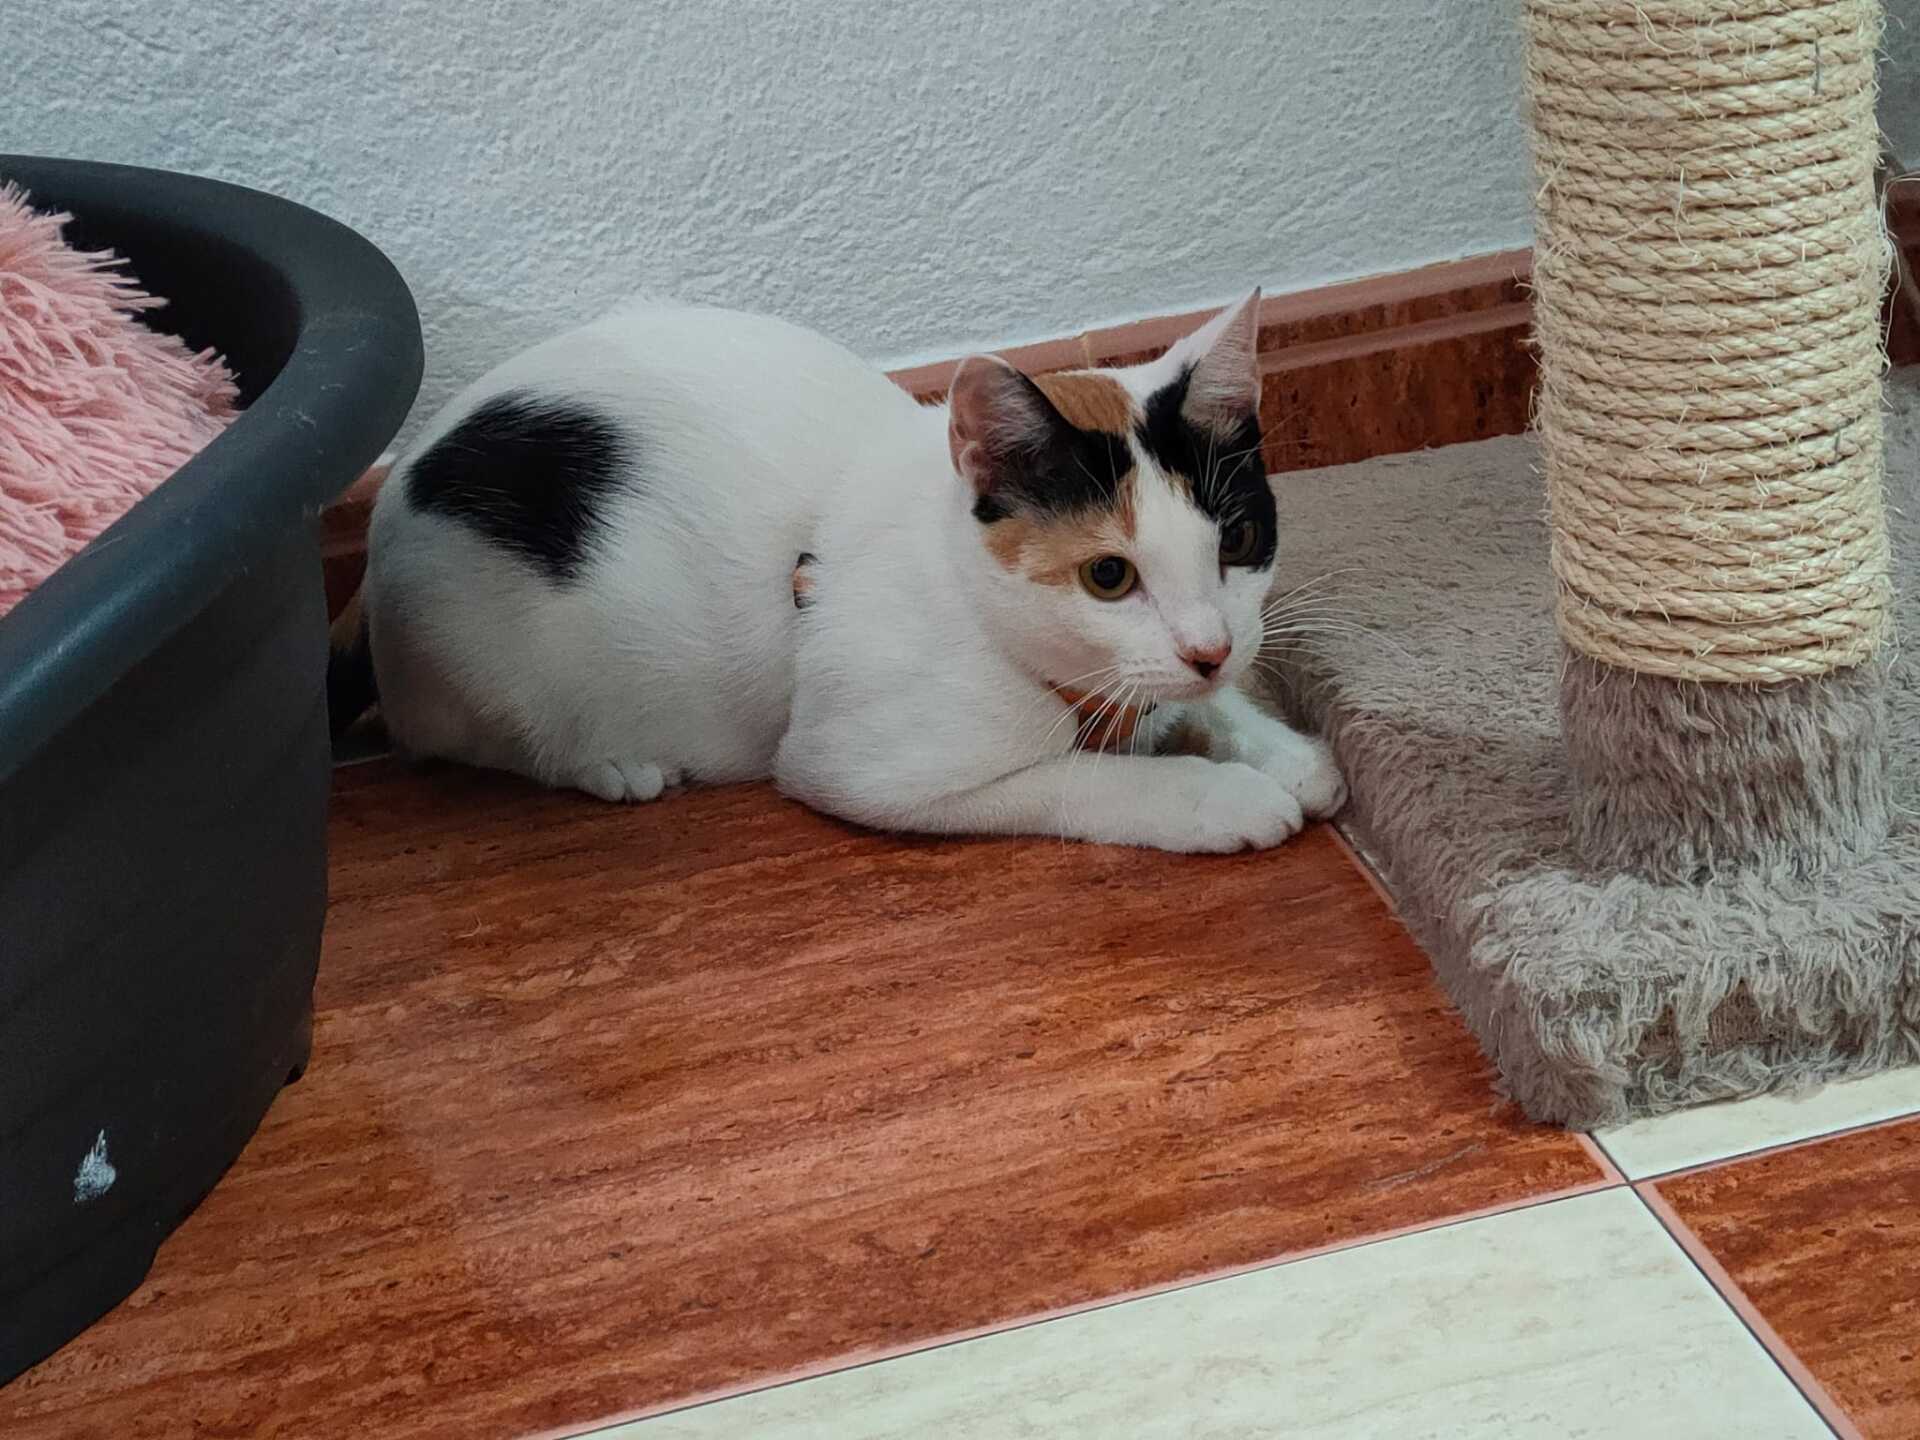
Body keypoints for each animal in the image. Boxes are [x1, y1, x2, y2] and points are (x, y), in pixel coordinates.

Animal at [328, 291, 1346, 853]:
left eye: (1237, 540)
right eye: (1109, 577)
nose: (1210, 648)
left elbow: (1204, 705)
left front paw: (1281, 749)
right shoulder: (854, 767)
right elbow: (1078, 780)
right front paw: (1214, 793)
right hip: (485, 662)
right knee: (462, 738)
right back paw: (610, 763)